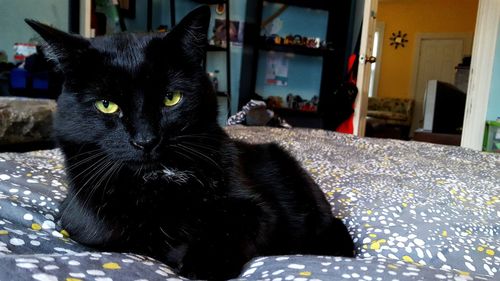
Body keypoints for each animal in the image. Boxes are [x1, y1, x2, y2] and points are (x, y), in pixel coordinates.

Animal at [27, 6, 354, 280]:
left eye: (171, 98)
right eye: (106, 105)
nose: (146, 140)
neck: (159, 180)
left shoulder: (258, 209)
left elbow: (230, 225)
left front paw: (203, 262)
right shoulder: (80, 215)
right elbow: (112, 230)